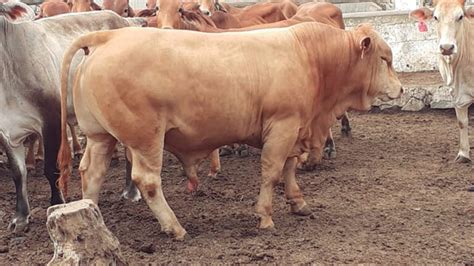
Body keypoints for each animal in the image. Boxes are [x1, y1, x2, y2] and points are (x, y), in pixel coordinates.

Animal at [57, 22, 402, 239]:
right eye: (385, 58)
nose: (400, 89)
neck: (309, 57)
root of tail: (109, 36)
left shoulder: (295, 127)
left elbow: (290, 168)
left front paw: (298, 202)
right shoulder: (283, 125)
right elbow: (272, 171)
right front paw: (265, 216)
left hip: (100, 136)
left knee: (92, 173)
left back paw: (94, 217)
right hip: (145, 139)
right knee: (148, 181)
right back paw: (175, 227)